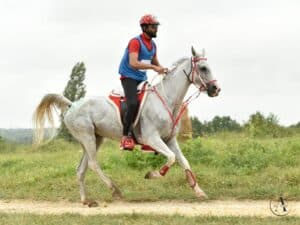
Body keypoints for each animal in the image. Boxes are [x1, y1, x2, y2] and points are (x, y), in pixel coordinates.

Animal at [32, 46, 220, 207]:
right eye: (203, 68)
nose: (216, 89)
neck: (167, 100)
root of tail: (72, 105)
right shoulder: (152, 138)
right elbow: (172, 158)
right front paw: (151, 174)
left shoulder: (170, 140)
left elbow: (184, 161)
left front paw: (199, 191)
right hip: (87, 137)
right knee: (93, 164)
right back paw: (115, 190)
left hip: (95, 138)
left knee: (81, 169)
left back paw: (86, 201)